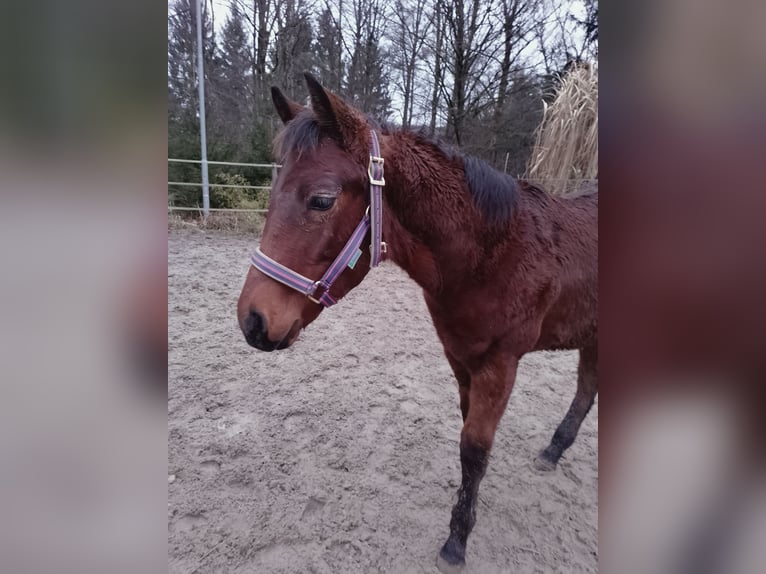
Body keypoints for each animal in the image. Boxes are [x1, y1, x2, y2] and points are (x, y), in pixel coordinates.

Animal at [237, 73, 598, 571]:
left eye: (322, 200)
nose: (252, 320)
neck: (492, 252)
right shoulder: (462, 359)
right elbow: (468, 439)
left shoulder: (500, 365)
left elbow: (474, 448)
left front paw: (457, 541)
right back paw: (553, 450)